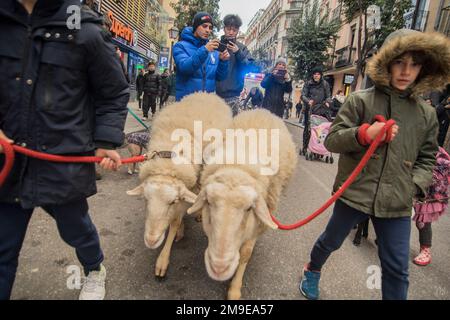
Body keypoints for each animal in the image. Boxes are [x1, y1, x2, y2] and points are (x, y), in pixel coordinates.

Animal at [126, 92, 232, 278]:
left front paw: (162, 260)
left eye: (172, 202)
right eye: (146, 199)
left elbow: (175, 222)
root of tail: (206, 93)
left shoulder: (186, 189)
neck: (168, 161)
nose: (151, 240)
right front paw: (181, 228)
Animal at [187, 109, 298, 298]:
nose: (219, 268)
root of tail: (263, 110)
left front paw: (234, 289)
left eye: (249, 209)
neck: (238, 165)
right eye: (209, 202)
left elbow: (246, 253)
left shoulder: (259, 222)